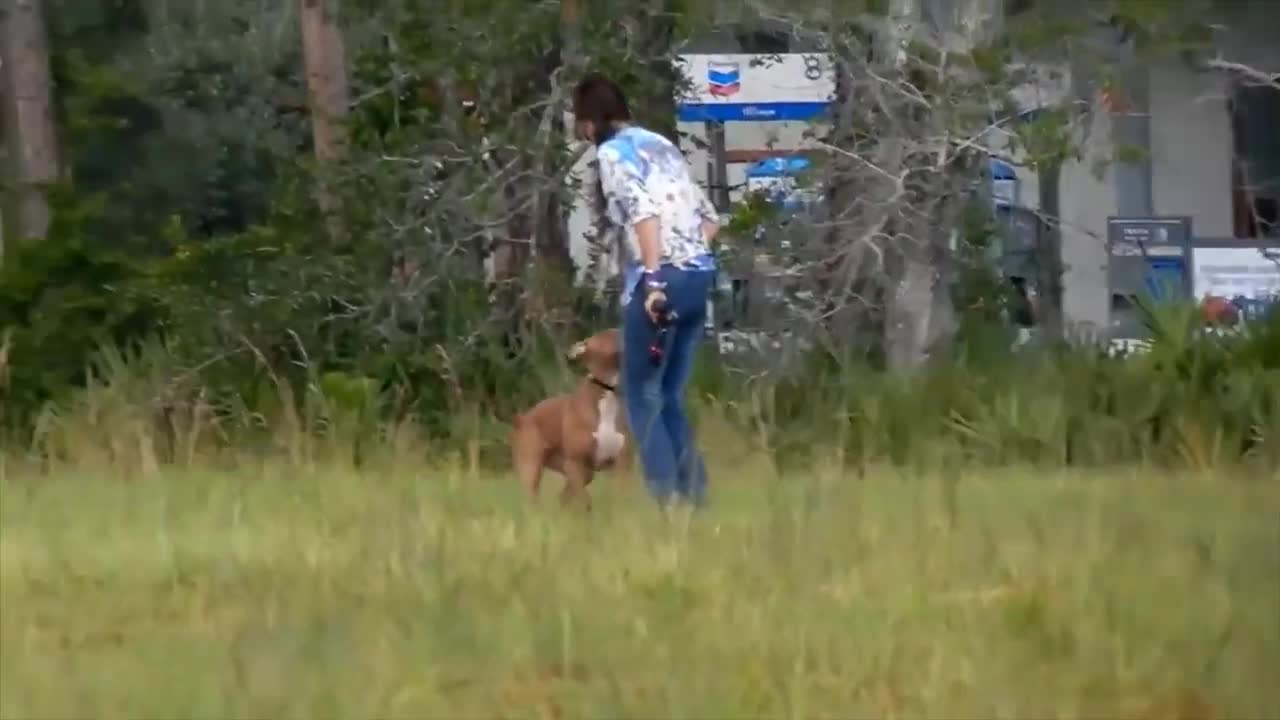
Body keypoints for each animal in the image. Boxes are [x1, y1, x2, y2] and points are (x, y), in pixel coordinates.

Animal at [509, 327, 629, 507]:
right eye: (609, 334)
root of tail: (524, 418)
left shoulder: (621, 465)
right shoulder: (575, 464)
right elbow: (585, 499)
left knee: (564, 495)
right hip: (531, 467)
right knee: (535, 496)